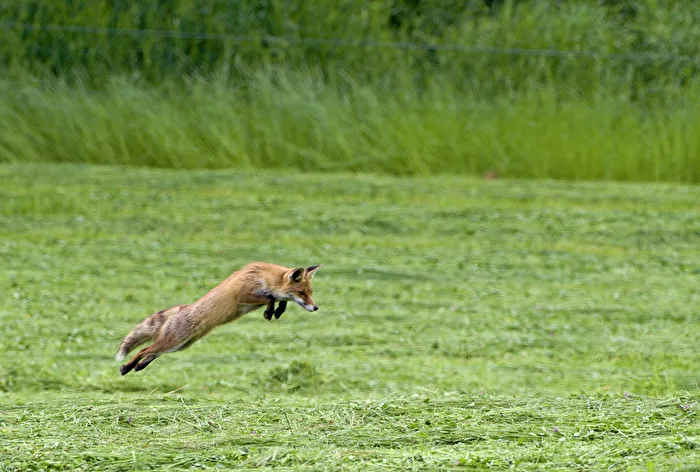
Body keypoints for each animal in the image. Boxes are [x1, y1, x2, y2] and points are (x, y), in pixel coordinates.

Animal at [116, 262, 321, 375]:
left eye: (311, 292)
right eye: (302, 293)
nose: (315, 307)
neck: (263, 276)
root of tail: (183, 307)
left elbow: (279, 299)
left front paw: (277, 311)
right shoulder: (243, 295)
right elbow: (270, 297)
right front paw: (270, 311)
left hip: (179, 346)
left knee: (151, 354)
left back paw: (137, 367)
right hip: (173, 341)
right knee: (144, 349)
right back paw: (126, 367)